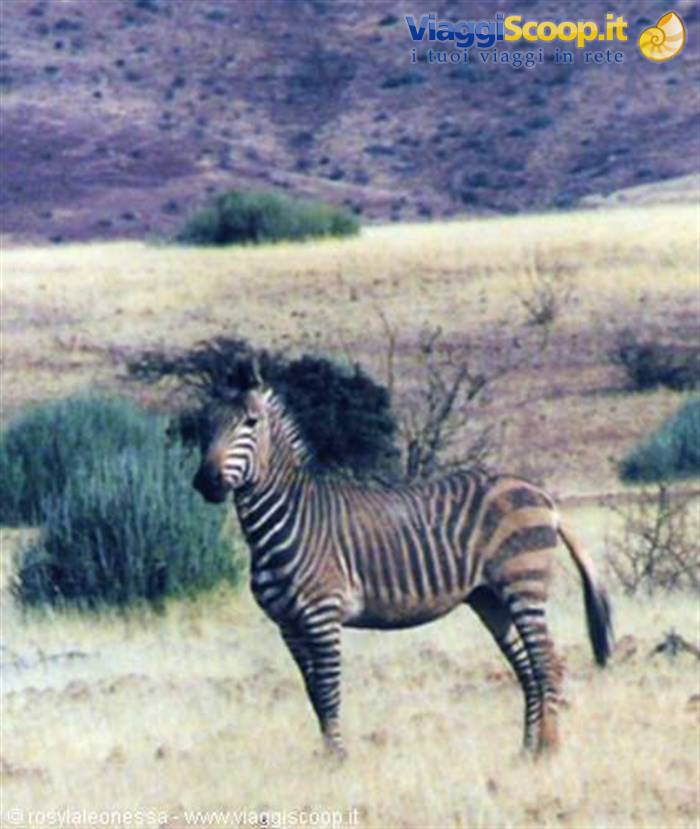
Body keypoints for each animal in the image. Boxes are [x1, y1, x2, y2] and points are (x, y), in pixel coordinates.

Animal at [193, 377, 613, 758]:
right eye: (203, 426)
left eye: (250, 423)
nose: (205, 482)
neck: (285, 520)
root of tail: (542, 495)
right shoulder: (288, 626)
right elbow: (312, 693)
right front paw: (327, 757)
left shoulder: (321, 614)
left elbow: (328, 692)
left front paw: (337, 761)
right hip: (490, 600)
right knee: (526, 670)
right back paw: (526, 751)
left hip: (522, 586)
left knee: (547, 664)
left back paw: (550, 749)